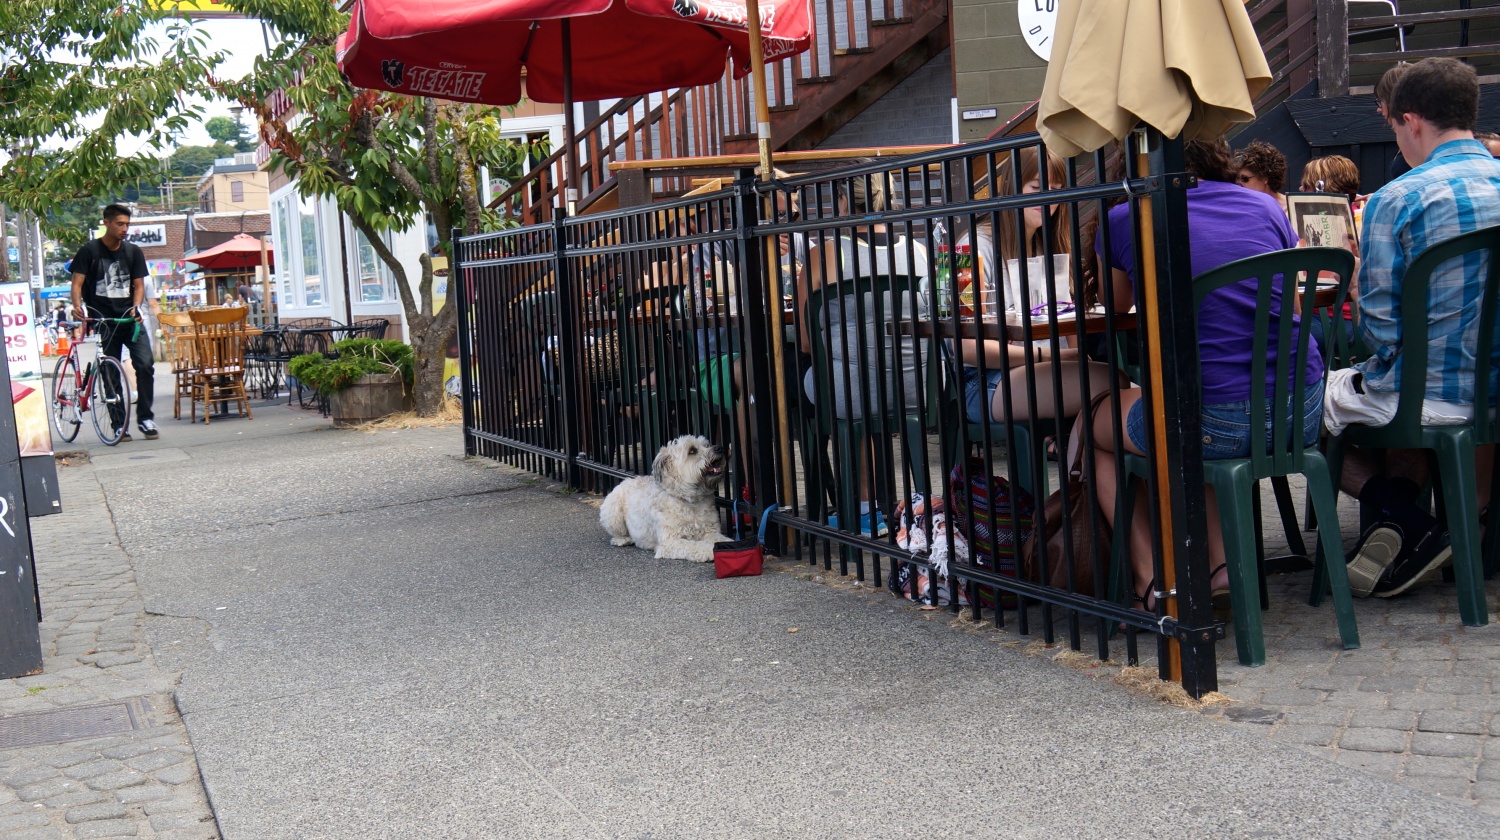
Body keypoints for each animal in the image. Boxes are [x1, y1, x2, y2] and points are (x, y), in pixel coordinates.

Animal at [603, 432, 732, 564]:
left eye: (706, 445)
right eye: (692, 451)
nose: (720, 448)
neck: (688, 499)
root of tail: (625, 480)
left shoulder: (710, 531)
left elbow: (720, 539)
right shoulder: (670, 542)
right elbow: (695, 546)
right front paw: (710, 551)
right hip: (613, 513)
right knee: (617, 533)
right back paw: (622, 540)